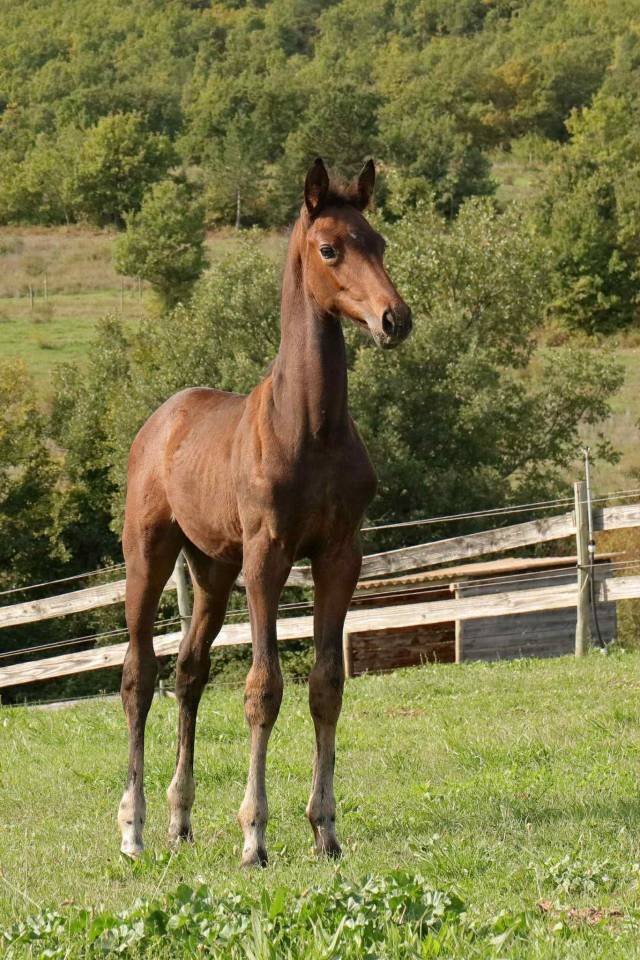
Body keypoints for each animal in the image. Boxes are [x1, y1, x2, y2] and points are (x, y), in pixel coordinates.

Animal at [117, 157, 412, 866]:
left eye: (379, 242)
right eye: (330, 248)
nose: (395, 319)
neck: (309, 427)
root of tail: (162, 419)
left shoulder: (340, 556)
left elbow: (326, 686)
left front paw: (325, 829)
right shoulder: (267, 558)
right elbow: (262, 689)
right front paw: (254, 835)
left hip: (212, 569)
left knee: (188, 672)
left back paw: (180, 820)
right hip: (150, 553)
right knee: (139, 675)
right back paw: (134, 828)